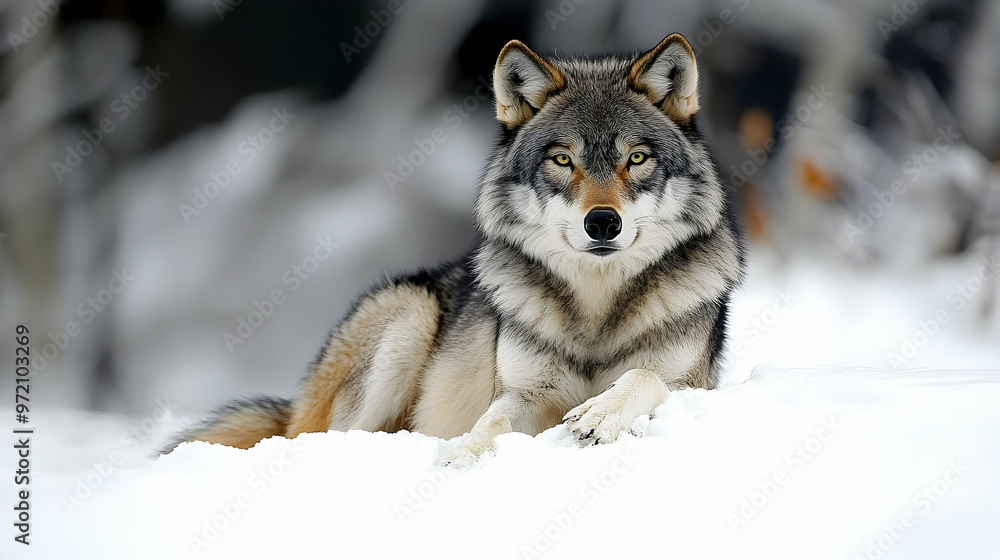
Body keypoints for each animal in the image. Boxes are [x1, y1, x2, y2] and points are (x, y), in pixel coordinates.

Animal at [165, 34, 745, 467]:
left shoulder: (689, 385)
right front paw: (461, 457)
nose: (602, 222)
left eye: (637, 158)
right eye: (562, 160)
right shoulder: (523, 396)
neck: (595, 313)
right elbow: (493, 421)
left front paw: (601, 414)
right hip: (407, 318)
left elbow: (644, 376)